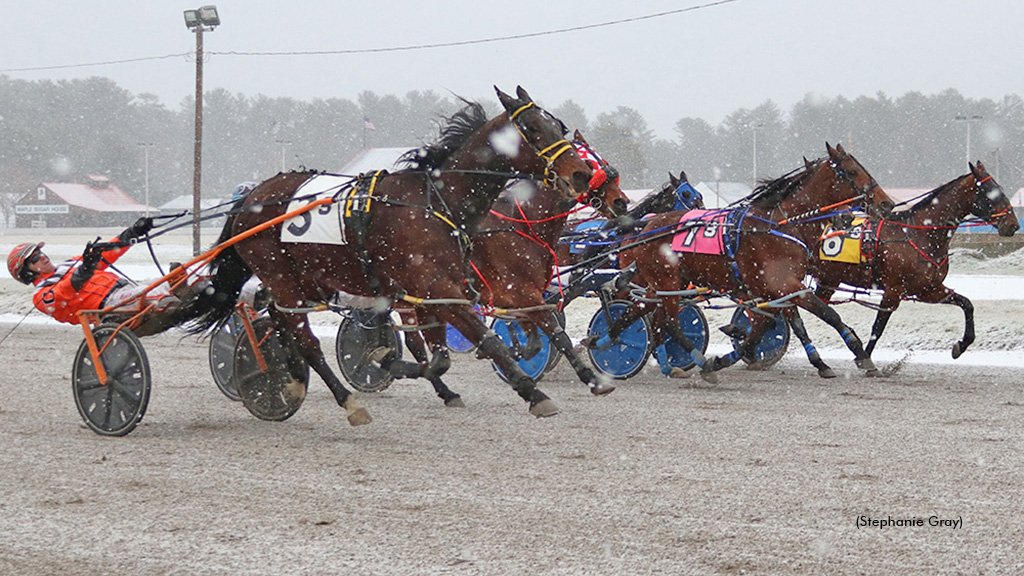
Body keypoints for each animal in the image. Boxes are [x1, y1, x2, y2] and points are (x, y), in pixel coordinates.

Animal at [178, 86, 593, 422]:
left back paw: (293, 380)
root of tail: (251, 198)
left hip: (306, 279)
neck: (436, 202)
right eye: (534, 128)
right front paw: (535, 393)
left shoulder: (438, 292)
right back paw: (345, 401)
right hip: (282, 276)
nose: (582, 174)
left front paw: (391, 361)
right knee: (305, 339)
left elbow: (439, 356)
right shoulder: (443, 289)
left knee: (281, 320)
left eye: (558, 126)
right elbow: (488, 341)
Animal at [391, 130, 630, 401]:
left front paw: (513, 352)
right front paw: (591, 379)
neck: (523, 224)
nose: (621, 202)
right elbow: (555, 335)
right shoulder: (521, 291)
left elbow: (534, 341)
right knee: (415, 342)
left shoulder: (524, 297)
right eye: (590, 166)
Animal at [610, 141, 892, 379]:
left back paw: (611, 340)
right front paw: (860, 354)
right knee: (667, 321)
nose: (887, 204)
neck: (782, 224)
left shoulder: (773, 289)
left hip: (664, 284)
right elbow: (826, 313)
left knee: (644, 313)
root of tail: (645, 227)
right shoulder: (784, 284)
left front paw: (730, 356)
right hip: (666, 281)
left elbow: (765, 325)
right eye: (852, 172)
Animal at [815, 158, 1015, 358]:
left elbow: (967, 304)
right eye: (991, 192)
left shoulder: (929, 289)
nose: (1013, 224)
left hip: (828, 280)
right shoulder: (893, 291)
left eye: (1000, 188)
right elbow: (877, 329)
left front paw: (962, 344)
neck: (918, 233)